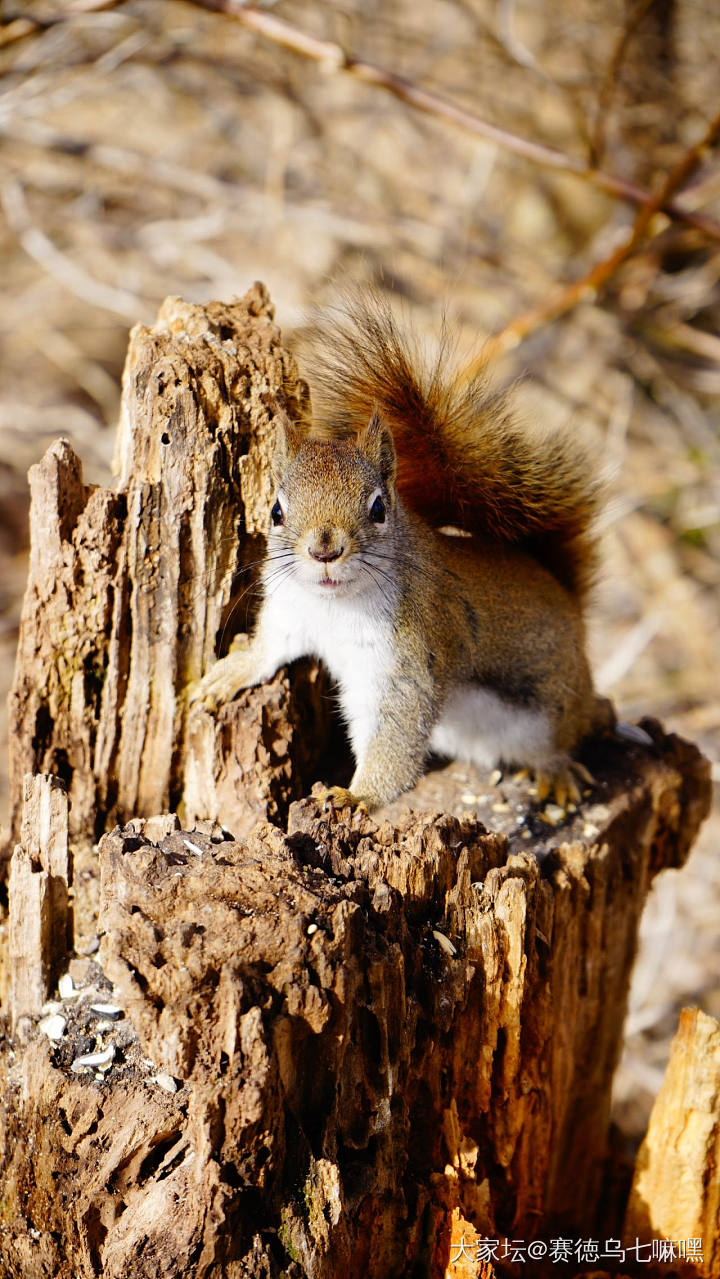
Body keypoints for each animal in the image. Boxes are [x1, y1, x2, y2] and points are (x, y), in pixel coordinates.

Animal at [193, 292, 618, 808]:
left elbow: (395, 729)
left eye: (378, 508)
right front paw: (233, 670)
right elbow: (273, 647)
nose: (324, 550)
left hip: (555, 703)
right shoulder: (293, 612)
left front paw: (357, 797)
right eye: (275, 510)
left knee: (572, 731)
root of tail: (570, 605)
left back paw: (560, 766)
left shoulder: (408, 656)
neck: (333, 605)